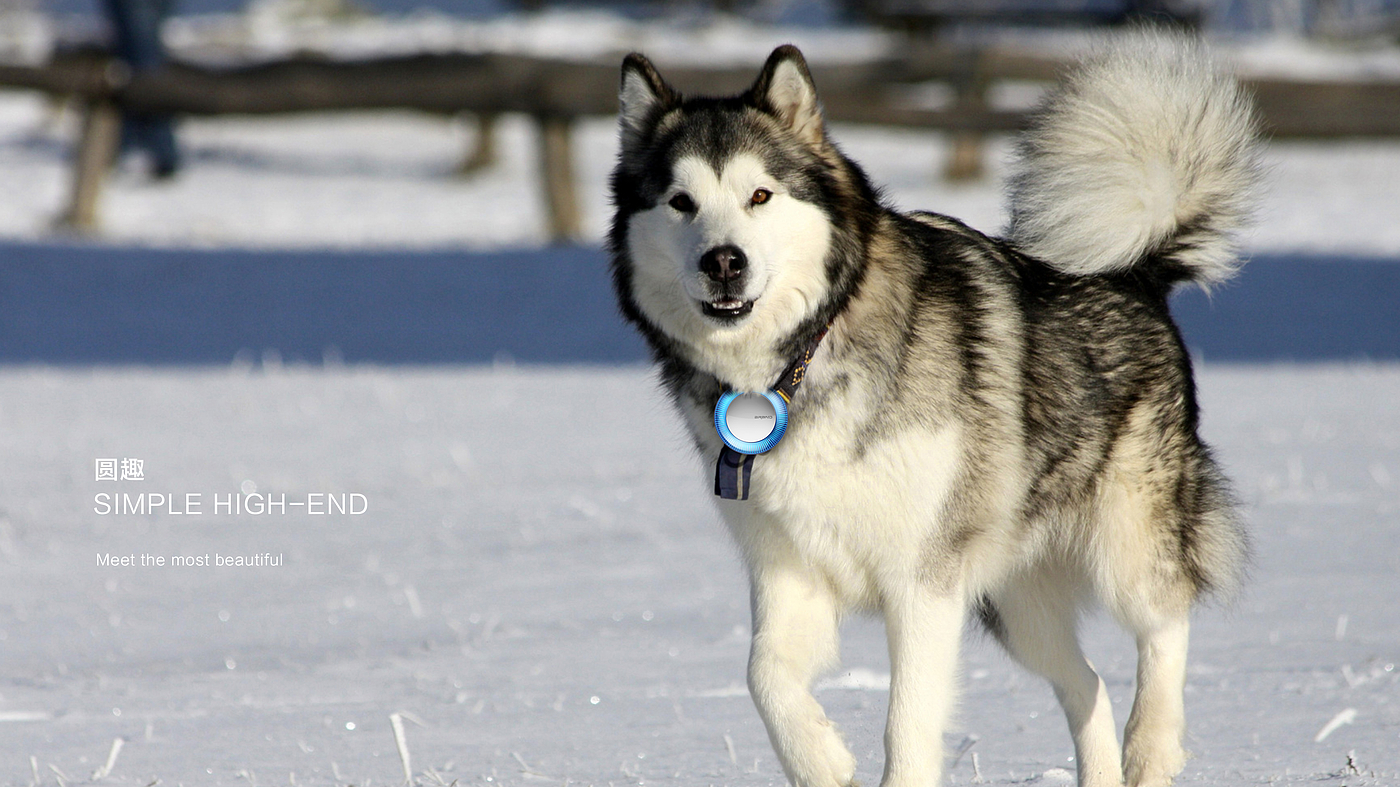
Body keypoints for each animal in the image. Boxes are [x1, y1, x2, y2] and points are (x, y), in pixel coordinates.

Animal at [610, 32, 1260, 784]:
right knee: (1087, 684)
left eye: (760, 195)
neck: (798, 361)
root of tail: (1134, 274)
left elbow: (908, 722)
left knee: (1164, 620)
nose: (723, 262)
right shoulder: (787, 570)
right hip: (1014, 603)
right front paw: (822, 759)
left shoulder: (922, 582)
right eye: (681, 201)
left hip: (1125, 541)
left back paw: (1151, 744)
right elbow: (762, 676)